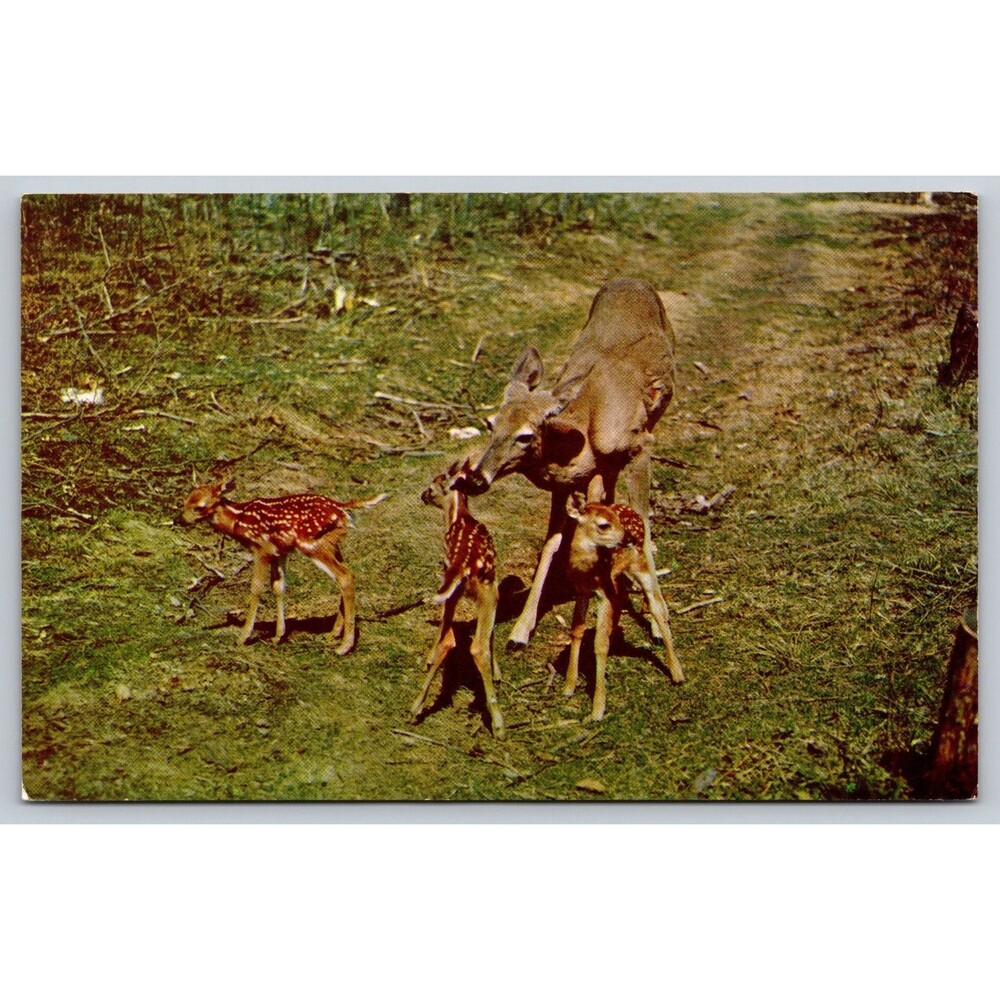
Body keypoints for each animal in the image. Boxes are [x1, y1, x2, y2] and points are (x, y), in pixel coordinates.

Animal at [178, 479, 387, 655]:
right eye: (185, 501)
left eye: (200, 506)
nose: (179, 520)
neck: (238, 521)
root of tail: (342, 508)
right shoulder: (280, 551)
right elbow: (278, 587)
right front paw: (278, 636)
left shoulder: (261, 549)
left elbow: (256, 588)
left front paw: (243, 637)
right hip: (332, 544)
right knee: (346, 575)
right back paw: (333, 633)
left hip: (312, 544)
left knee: (345, 576)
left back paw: (344, 646)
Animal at [412, 457, 505, 739]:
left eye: (433, 485)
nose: (422, 495)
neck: (458, 515)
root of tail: (464, 566)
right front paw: (497, 672)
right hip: (486, 590)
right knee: (473, 644)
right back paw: (498, 723)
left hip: (470, 587)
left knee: (452, 639)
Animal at [461, 277, 677, 649]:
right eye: (490, 424)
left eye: (526, 435)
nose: (475, 479)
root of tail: (633, 281)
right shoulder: (567, 484)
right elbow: (552, 543)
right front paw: (520, 631)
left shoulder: (639, 444)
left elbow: (644, 524)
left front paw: (657, 622)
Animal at [564, 493, 684, 722]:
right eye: (604, 525)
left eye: (617, 521)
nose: (628, 539)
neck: (586, 570)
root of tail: (633, 510)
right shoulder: (581, 590)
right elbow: (577, 630)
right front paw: (568, 685)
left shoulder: (603, 593)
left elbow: (599, 644)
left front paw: (597, 709)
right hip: (619, 577)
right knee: (624, 598)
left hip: (640, 564)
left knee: (658, 607)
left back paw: (677, 673)